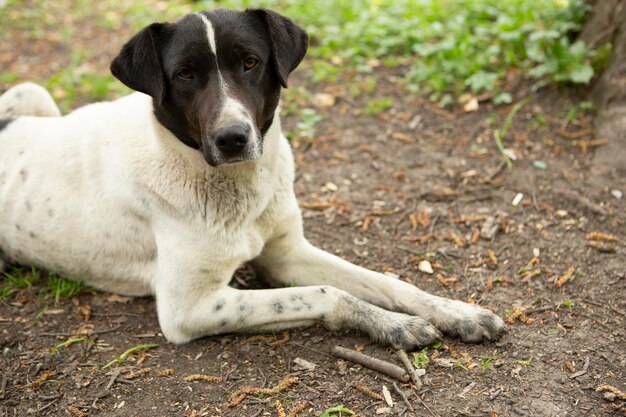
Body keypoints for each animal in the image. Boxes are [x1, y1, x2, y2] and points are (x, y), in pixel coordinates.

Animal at [0, 9, 508, 348]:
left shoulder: (286, 253)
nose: (232, 138)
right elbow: (326, 292)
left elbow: (386, 281)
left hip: (32, 93)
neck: (237, 186)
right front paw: (392, 325)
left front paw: (455, 312)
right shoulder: (189, 309)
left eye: (250, 62)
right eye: (184, 74)